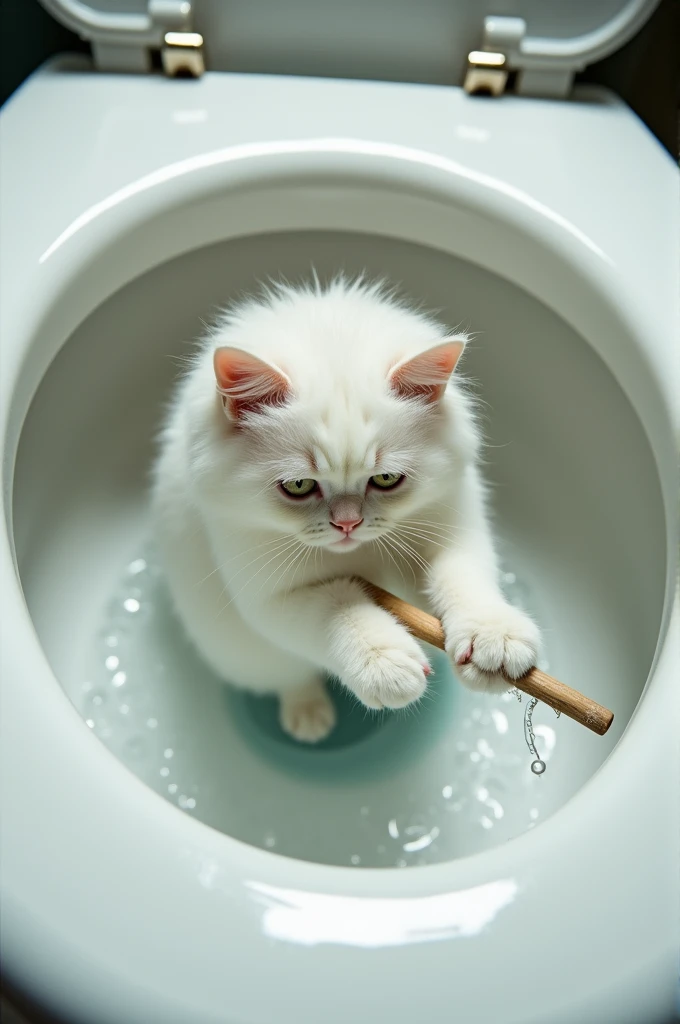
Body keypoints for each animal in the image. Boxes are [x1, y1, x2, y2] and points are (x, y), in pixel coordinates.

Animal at [151, 280, 540, 741]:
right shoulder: (268, 596)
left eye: (387, 479)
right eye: (298, 486)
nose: (348, 524)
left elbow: (463, 578)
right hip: (243, 652)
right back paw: (309, 719)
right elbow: (338, 608)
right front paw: (385, 665)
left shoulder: (455, 529)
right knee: (292, 679)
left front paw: (494, 640)